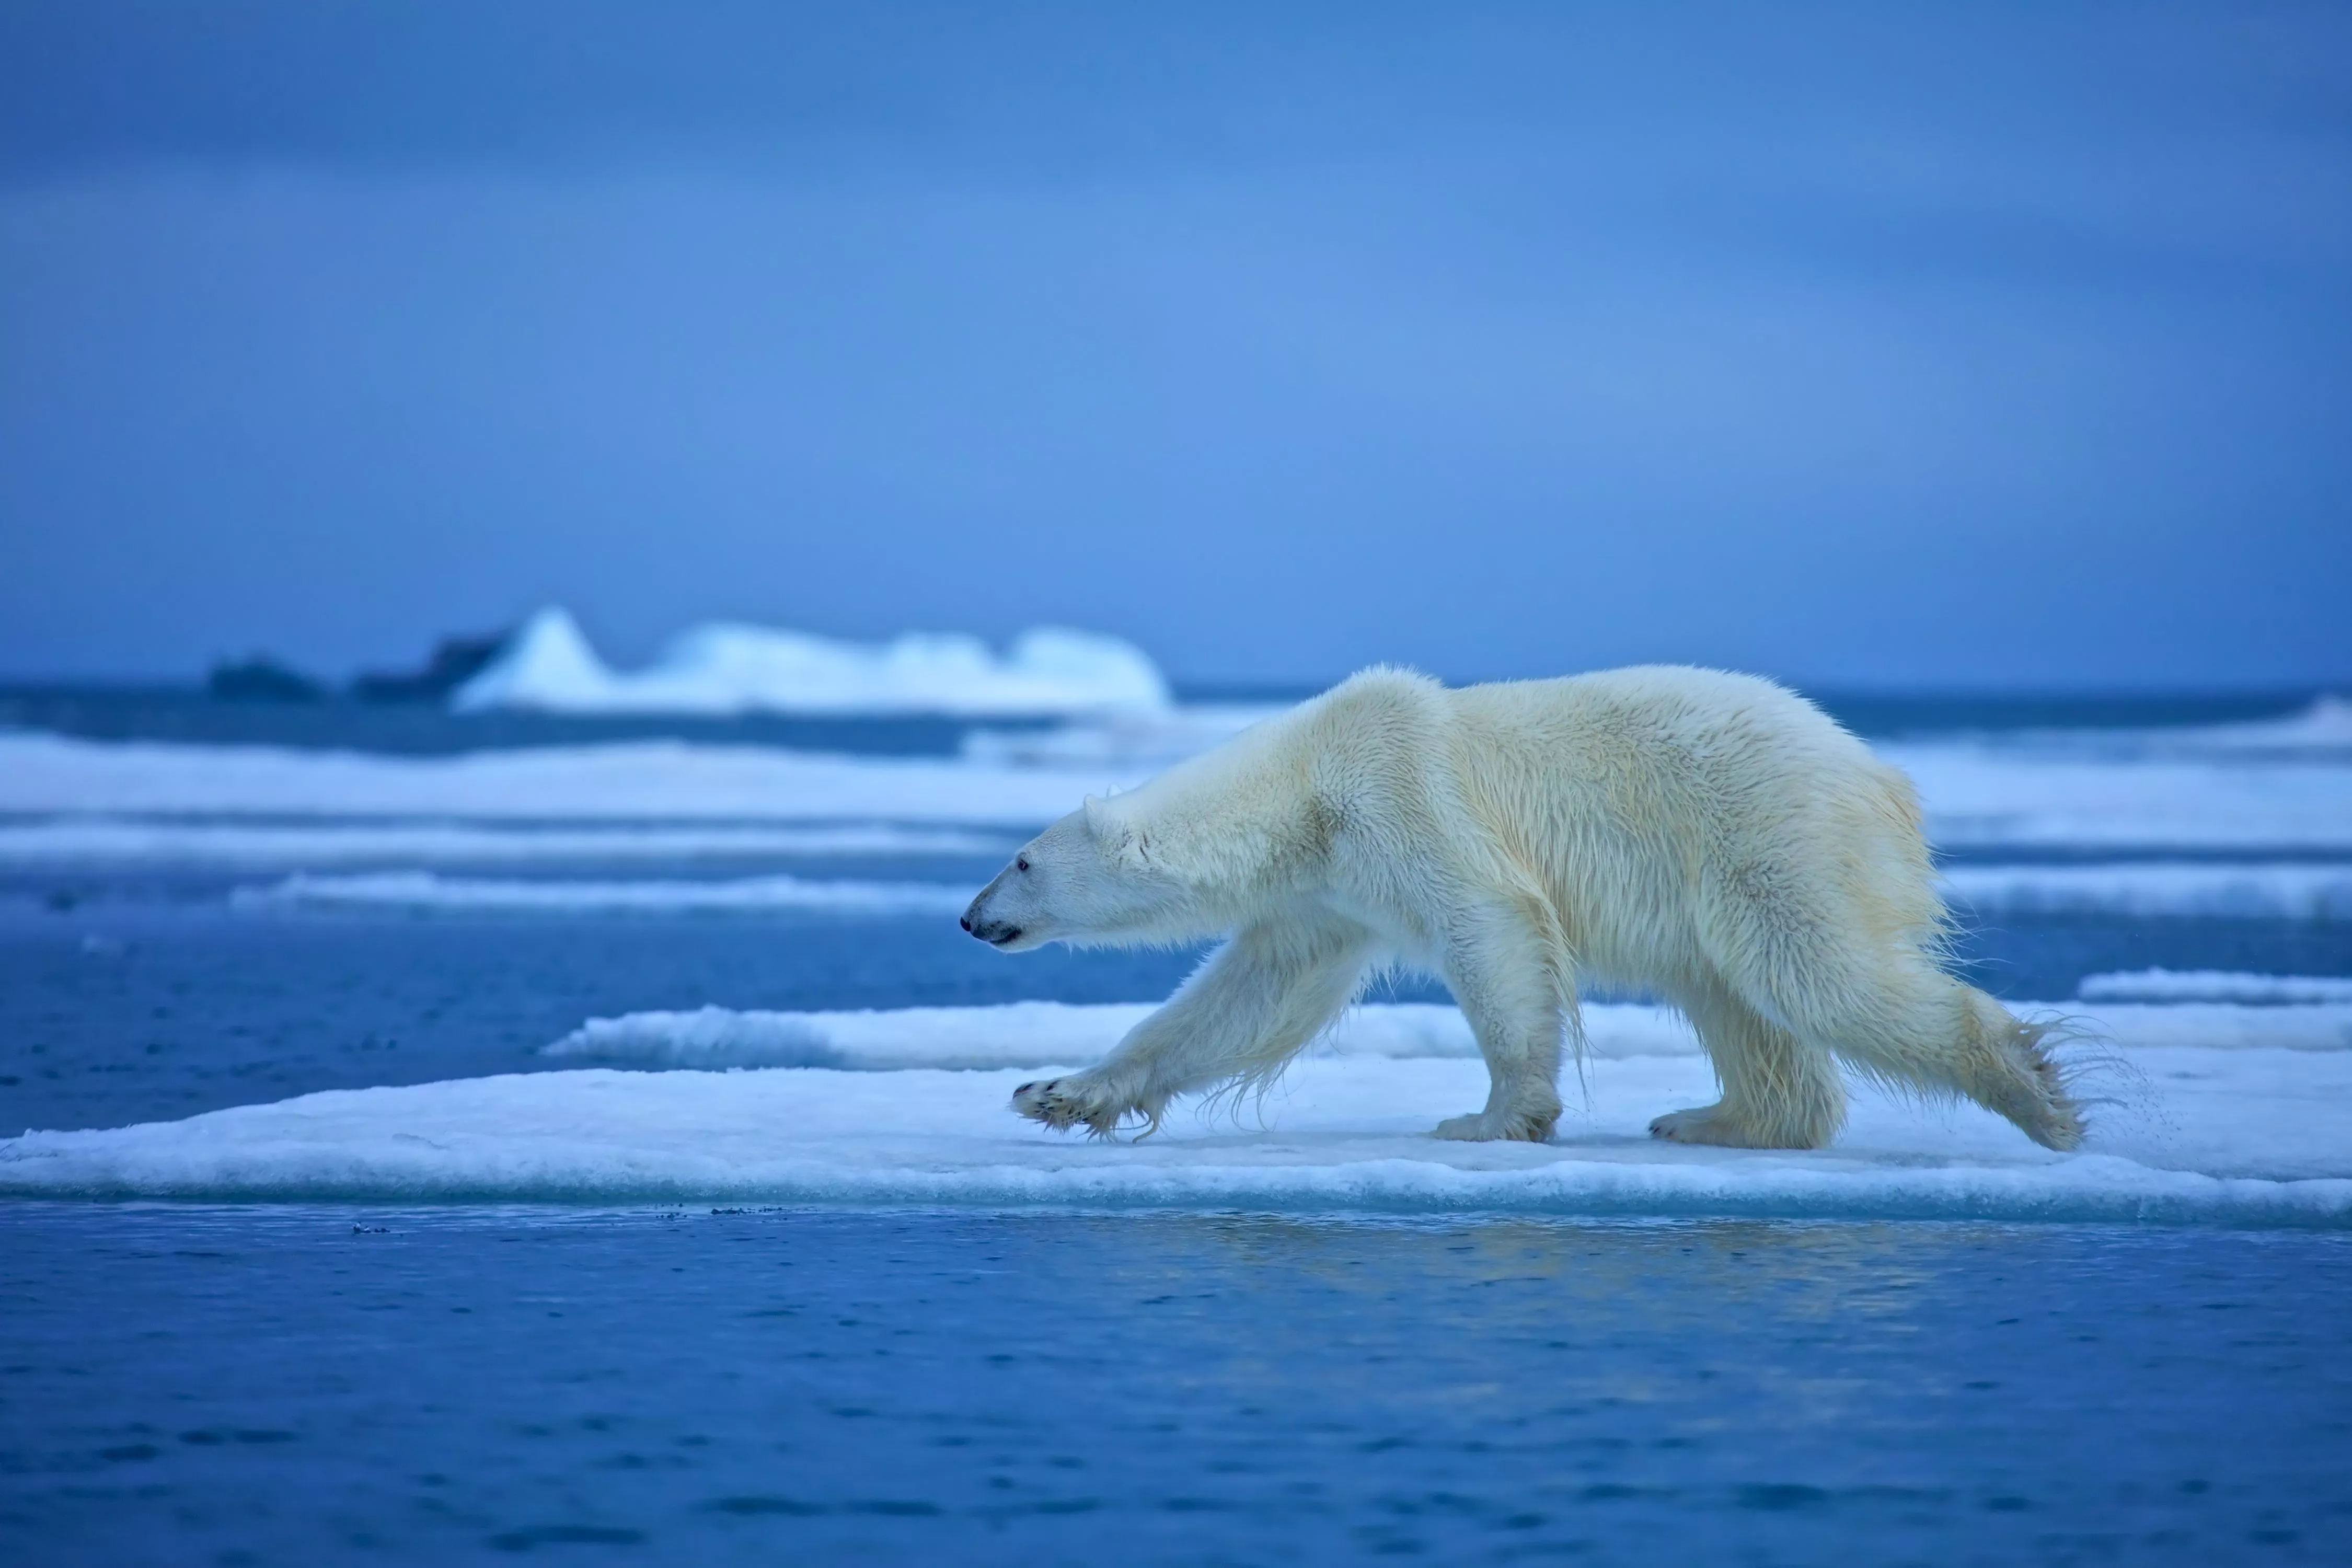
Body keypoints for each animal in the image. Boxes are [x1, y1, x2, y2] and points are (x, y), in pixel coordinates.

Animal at [960, 665, 2084, 1151]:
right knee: (1736, 999)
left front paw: (1494, 1116)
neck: (1307, 784)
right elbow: (1247, 998)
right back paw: (1713, 1119)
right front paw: (1058, 1093)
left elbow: (1489, 927)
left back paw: (2037, 1093)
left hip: (1768, 834)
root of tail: (1884, 778)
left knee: (1814, 972)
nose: (970, 918)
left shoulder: (1403, 795)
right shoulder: (1330, 889)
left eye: (1020, 860)